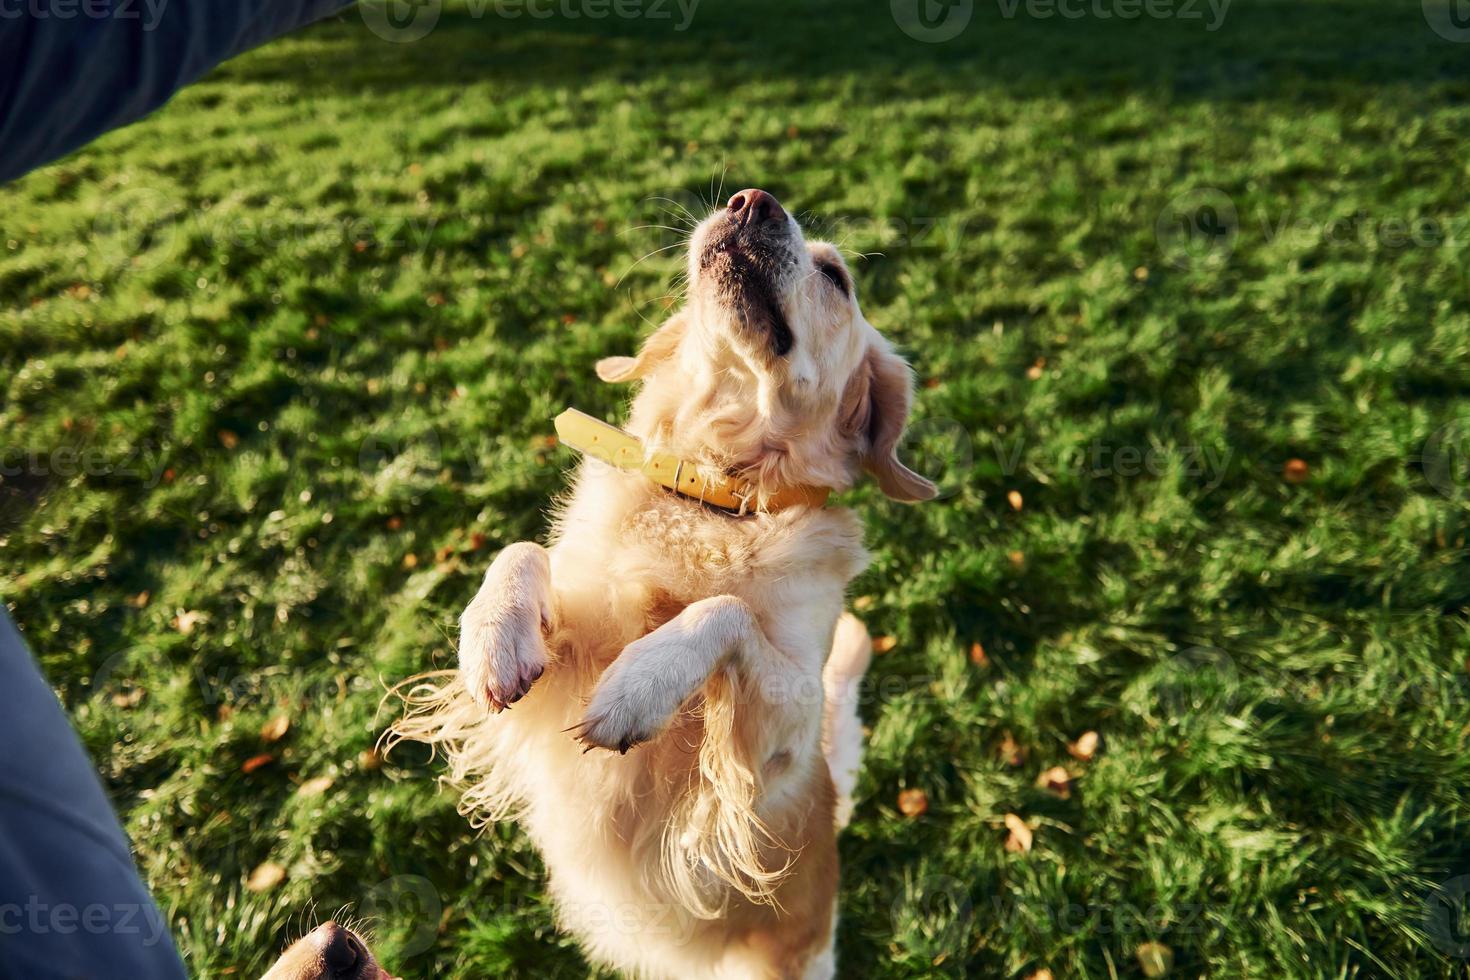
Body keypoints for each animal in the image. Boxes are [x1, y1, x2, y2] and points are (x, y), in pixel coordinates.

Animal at [391, 188, 934, 975]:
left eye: (836, 278)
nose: (752, 201)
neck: (716, 492)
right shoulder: (567, 657)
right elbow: (524, 549)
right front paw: (492, 639)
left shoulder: (785, 744)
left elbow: (726, 608)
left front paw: (639, 685)